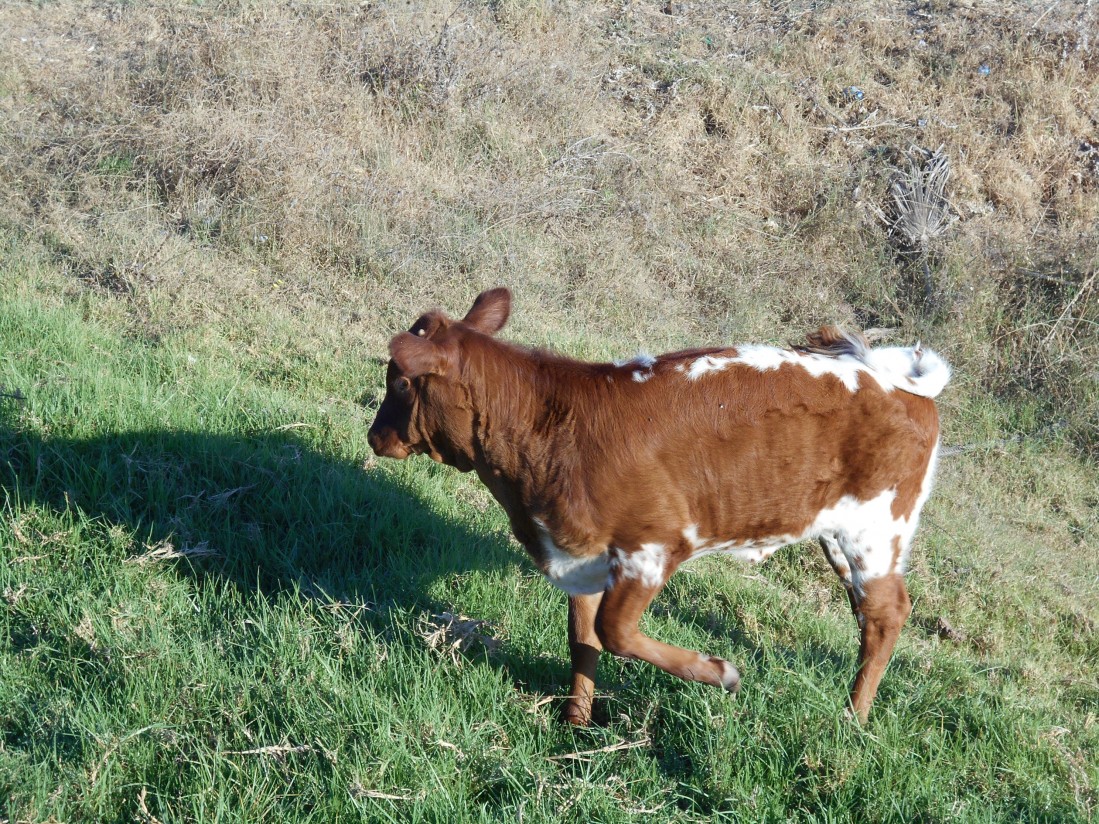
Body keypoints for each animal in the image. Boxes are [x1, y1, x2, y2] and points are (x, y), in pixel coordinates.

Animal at [364, 287, 949, 720]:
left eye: (401, 383)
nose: (374, 437)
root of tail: (891, 379)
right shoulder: (581, 555)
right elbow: (583, 639)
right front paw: (577, 725)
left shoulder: (653, 544)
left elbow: (614, 632)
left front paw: (720, 673)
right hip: (838, 533)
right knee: (870, 614)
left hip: (875, 531)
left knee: (886, 615)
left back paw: (852, 718)